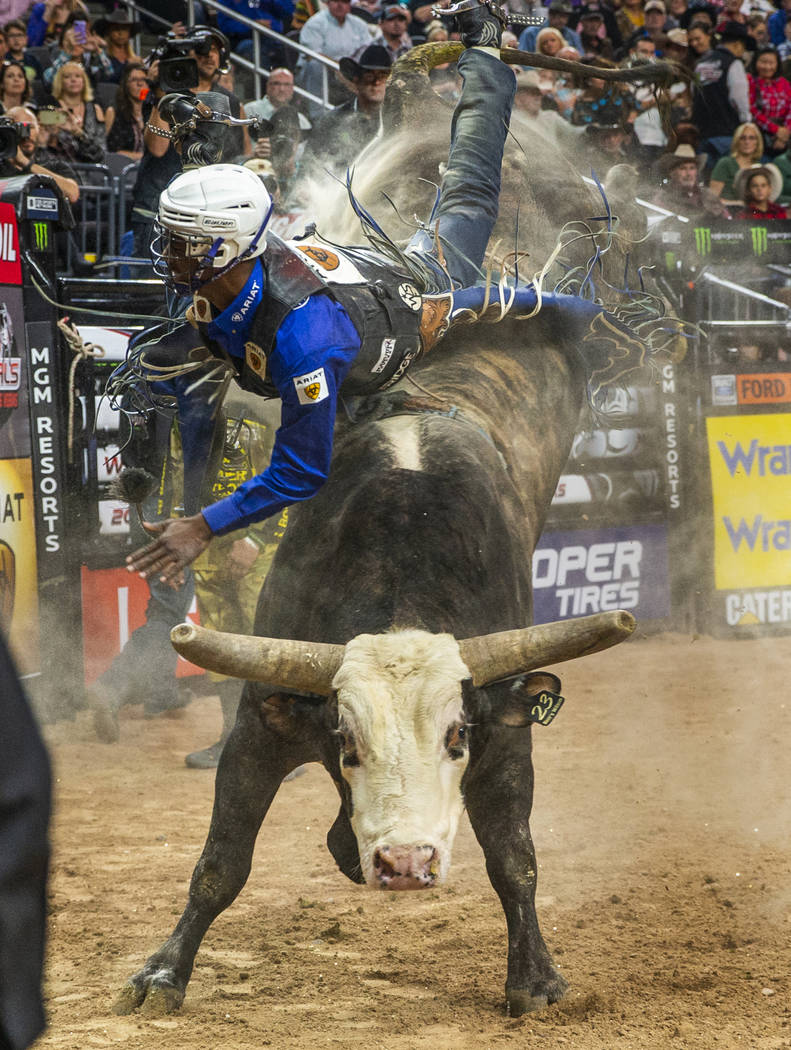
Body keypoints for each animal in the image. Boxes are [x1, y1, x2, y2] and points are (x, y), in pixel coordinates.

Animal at [112, 40, 680, 1016]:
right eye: (346, 741)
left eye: (453, 737)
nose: (406, 863)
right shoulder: (262, 723)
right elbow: (221, 864)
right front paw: (162, 973)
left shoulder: (507, 729)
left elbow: (514, 859)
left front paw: (535, 978)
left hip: (459, 266)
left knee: (490, 194)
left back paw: (478, 60)